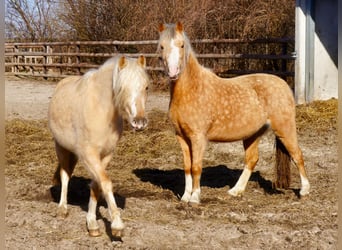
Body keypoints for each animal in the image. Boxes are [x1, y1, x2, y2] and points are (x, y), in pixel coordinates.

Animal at [48, 54, 150, 236]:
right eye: (122, 87)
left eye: (146, 87)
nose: (139, 122)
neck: (101, 111)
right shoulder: (89, 155)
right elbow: (106, 183)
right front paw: (117, 225)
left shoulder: (106, 155)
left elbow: (96, 185)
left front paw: (92, 224)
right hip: (61, 147)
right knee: (65, 175)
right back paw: (62, 209)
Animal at [158, 22, 310, 204]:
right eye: (162, 46)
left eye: (181, 45)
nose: (173, 72)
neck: (192, 89)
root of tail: (283, 84)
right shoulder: (182, 137)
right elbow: (187, 166)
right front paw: (185, 196)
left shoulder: (198, 138)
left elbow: (196, 167)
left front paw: (194, 198)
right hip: (253, 134)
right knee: (252, 159)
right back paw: (236, 191)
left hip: (285, 128)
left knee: (297, 155)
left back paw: (304, 190)